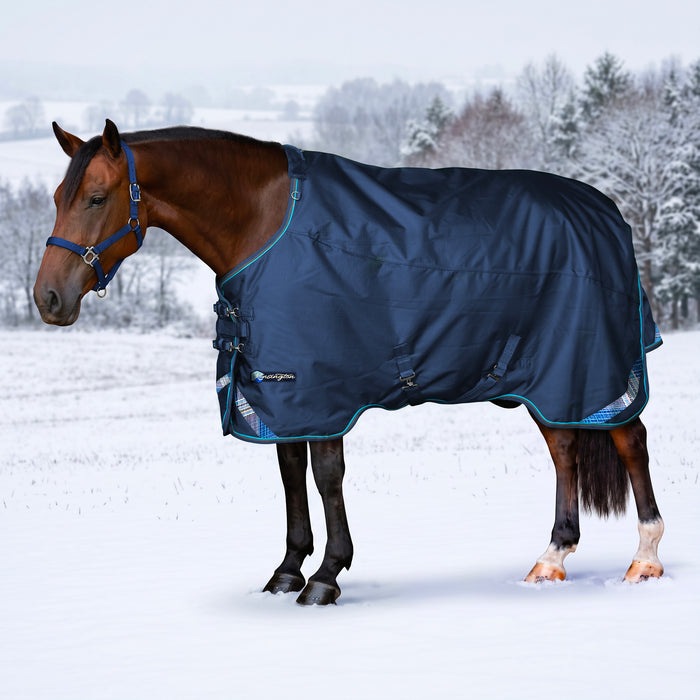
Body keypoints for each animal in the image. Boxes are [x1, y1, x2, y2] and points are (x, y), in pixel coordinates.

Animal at [33, 119, 665, 605]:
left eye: (96, 198)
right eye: (58, 199)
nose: (47, 299)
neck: (263, 222)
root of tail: (607, 210)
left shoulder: (324, 388)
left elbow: (326, 476)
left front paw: (326, 577)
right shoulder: (279, 392)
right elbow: (290, 475)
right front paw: (286, 572)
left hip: (594, 366)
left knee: (629, 439)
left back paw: (644, 560)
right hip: (545, 378)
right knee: (564, 448)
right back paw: (551, 558)